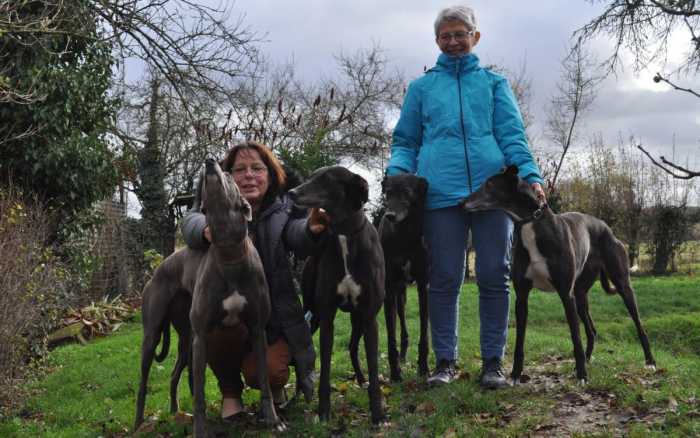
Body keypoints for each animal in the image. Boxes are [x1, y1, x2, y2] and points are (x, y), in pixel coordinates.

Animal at [288, 167, 386, 424]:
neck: (344, 235)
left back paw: (360, 379)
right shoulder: (327, 317)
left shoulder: (370, 317)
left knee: (352, 346)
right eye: (313, 176)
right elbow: (324, 368)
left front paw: (378, 413)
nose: (292, 192)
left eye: (326, 179)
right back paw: (296, 396)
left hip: (358, 319)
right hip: (312, 315)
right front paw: (323, 411)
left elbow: (373, 365)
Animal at [462, 165, 652, 384]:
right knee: (591, 330)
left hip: (621, 285)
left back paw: (650, 362)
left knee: (639, 326)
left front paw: (581, 376)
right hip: (580, 295)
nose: (461, 203)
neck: (531, 224)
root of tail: (607, 228)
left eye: (489, 184)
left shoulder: (565, 294)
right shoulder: (522, 297)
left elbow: (575, 338)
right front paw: (516, 374)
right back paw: (587, 359)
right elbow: (519, 341)